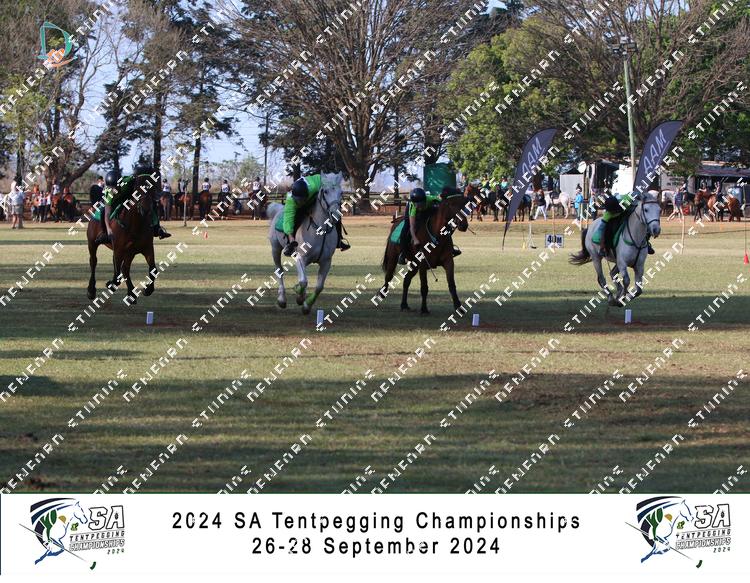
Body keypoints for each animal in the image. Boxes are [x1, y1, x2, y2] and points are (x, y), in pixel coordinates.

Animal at [86, 172, 159, 304]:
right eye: (137, 189)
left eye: (152, 189)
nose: (146, 209)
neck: (135, 224)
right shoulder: (119, 249)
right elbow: (117, 275)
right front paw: (111, 284)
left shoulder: (146, 248)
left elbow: (153, 270)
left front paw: (148, 290)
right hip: (92, 243)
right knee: (93, 262)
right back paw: (91, 290)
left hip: (128, 252)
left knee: (124, 269)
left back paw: (131, 293)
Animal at [267, 172, 344, 314]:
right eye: (325, 191)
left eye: (341, 192)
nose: (335, 214)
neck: (321, 230)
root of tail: (279, 209)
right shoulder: (300, 258)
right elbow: (303, 282)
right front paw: (299, 295)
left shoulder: (326, 262)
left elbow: (319, 286)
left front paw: (307, 305)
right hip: (275, 248)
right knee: (280, 271)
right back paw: (282, 299)